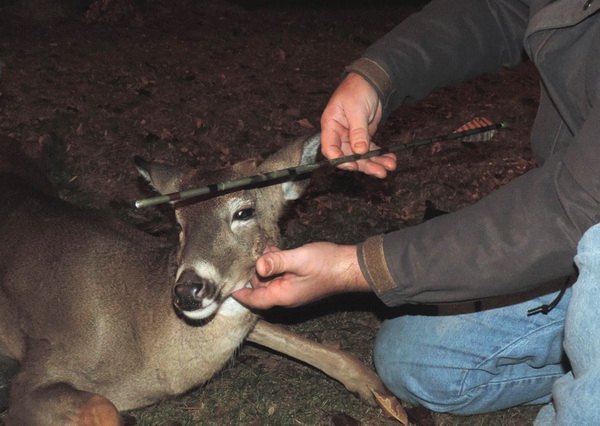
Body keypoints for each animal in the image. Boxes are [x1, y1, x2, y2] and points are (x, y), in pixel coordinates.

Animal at [0, 134, 396, 426]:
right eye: (178, 222)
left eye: (244, 212)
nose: (188, 291)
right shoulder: (41, 365)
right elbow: (102, 405)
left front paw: (377, 390)